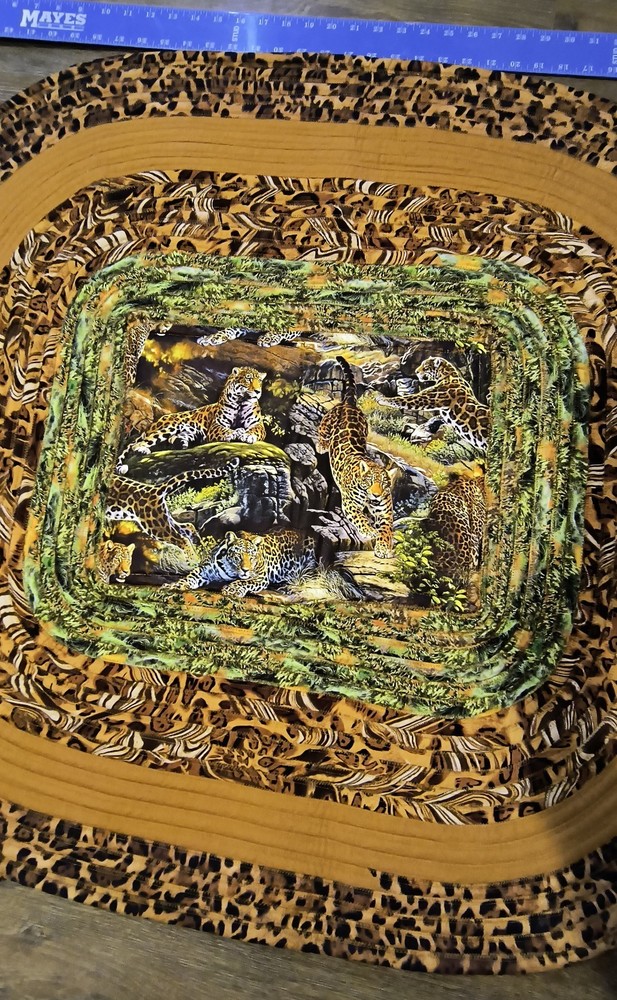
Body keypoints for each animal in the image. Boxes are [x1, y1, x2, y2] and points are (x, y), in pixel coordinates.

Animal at [116, 366, 266, 472]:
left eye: (260, 381)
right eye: (248, 378)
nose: (258, 391)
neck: (241, 401)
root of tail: (154, 423)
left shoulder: (258, 424)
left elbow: (254, 430)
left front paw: (248, 435)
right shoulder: (216, 426)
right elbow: (226, 430)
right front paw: (237, 433)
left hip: (190, 432)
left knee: (173, 439)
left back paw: (180, 443)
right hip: (168, 427)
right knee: (139, 444)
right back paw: (143, 450)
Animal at [179, 529, 316, 596]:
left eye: (252, 557)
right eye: (238, 555)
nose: (245, 570)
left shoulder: (260, 577)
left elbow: (244, 581)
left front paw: (231, 590)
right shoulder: (204, 569)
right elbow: (191, 575)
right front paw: (179, 585)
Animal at [317, 356, 393, 559]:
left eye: (384, 484)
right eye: (369, 481)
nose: (376, 495)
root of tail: (349, 404)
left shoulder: (385, 512)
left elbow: (386, 530)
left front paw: (384, 548)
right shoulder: (350, 503)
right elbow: (360, 518)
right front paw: (370, 531)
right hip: (326, 424)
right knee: (321, 434)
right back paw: (321, 445)